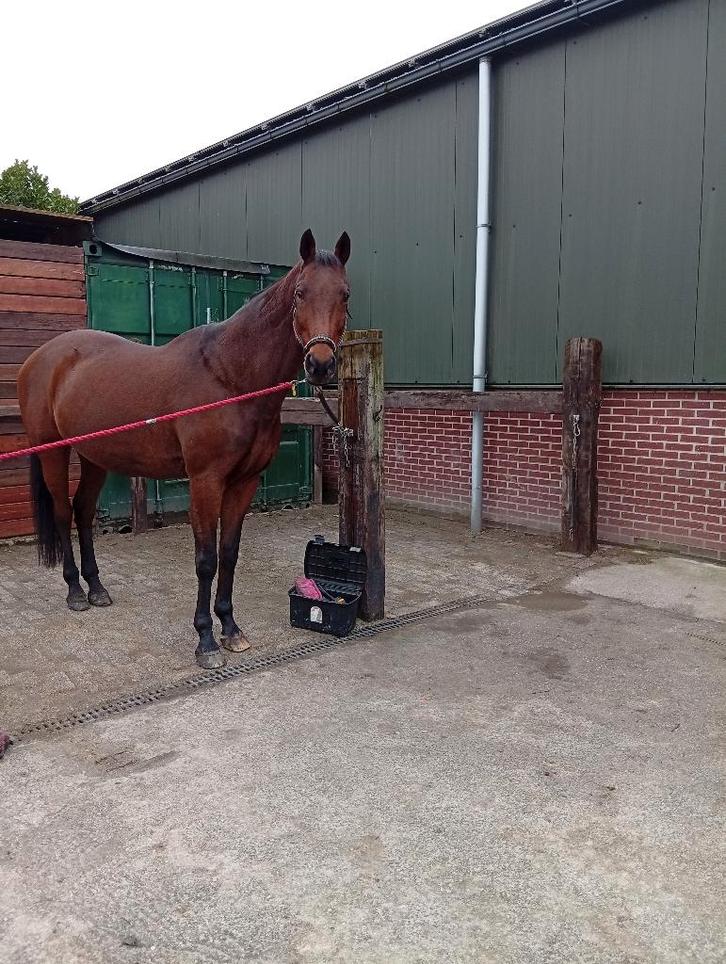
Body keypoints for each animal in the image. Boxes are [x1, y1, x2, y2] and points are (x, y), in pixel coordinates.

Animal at [18, 229, 350, 669]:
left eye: (345, 294)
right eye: (299, 292)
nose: (321, 365)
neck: (229, 377)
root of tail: (40, 358)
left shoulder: (244, 482)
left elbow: (229, 553)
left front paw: (231, 628)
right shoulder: (205, 481)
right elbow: (206, 559)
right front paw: (206, 640)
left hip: (94, 457)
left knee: (83, 512)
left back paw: (97, 589)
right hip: (52, 451)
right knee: (61, 512)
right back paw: (75, 592)